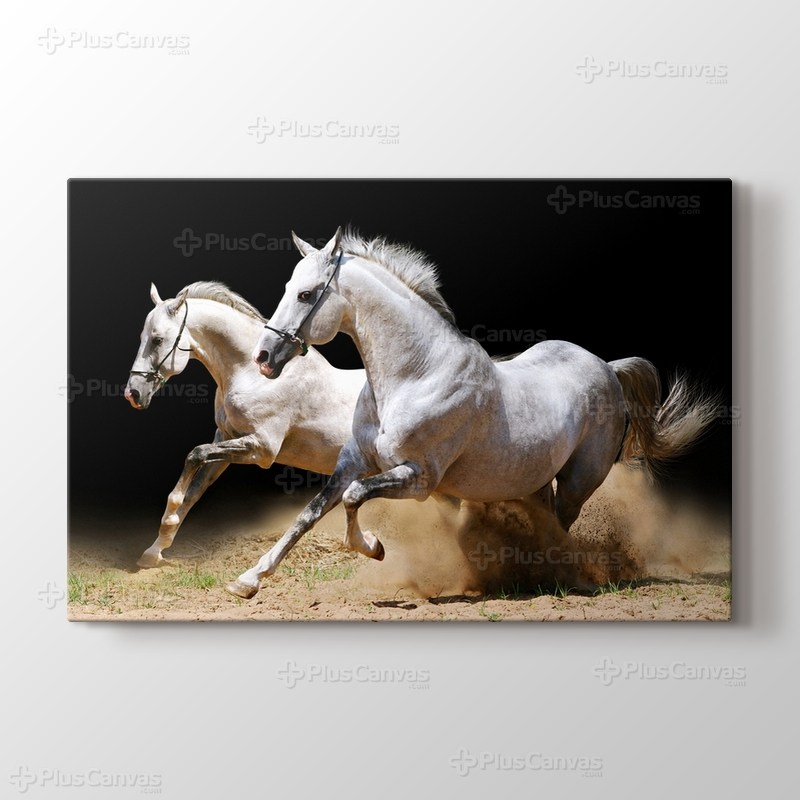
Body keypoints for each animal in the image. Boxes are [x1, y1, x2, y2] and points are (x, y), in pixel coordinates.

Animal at [124, 281, 365, 568]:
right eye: (141, 337)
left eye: (158, 339)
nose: (133, 394)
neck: (252, 375)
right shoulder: (226, 438)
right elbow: (194, 490)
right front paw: (155, 550)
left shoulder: (262, 449)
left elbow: (195, 455)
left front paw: (168, 520)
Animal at [225, 228, 719, 599]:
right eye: (287, 289)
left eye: (306, 294)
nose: (264, 358)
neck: (415, 375)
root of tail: (608, 368)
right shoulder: (353, 462)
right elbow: (309, 515)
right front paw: (247, 581)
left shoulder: (419, 478)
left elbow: (352, 500)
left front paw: (375, 547)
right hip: (534, 480)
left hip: (580, 480)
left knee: (561, 525)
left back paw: (553, 576)